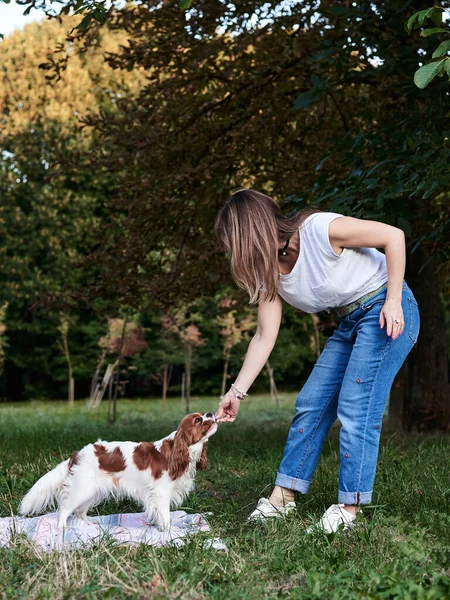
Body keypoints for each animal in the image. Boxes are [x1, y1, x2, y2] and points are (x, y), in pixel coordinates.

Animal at [20, 412, 217, 528]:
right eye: (198, 420)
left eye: (203, 415)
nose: (210, 413)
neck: (179, 449)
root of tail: (77, 454)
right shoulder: (161, 493)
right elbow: (165, 516)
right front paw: (168, 533)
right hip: (82, 489)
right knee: (65, 509)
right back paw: (62, 530)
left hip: (93, 491)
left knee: (80, 512)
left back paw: (90, 524)